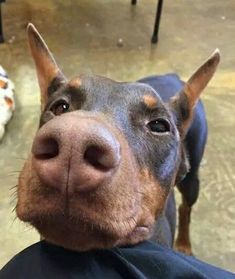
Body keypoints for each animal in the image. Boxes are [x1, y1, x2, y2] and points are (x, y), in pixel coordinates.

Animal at [15, 24, 219, 256]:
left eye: (159, 125)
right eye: (60, 106)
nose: (72, 144)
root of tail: (172, 76)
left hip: (192, 178)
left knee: (186, 207)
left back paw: (184, 243)